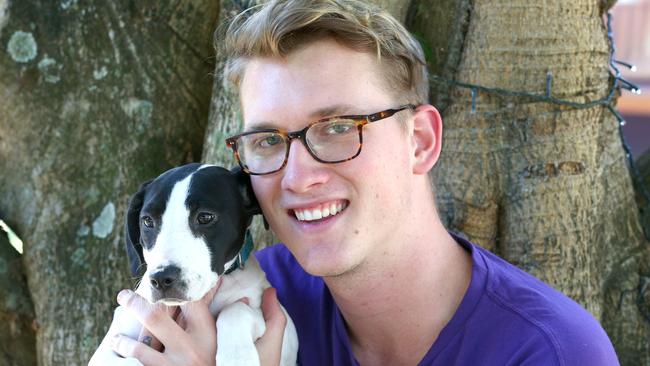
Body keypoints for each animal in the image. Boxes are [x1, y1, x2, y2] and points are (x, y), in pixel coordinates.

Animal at [88, 164, 296, 366]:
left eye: (205, 217)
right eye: (147, 221)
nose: (161, 279)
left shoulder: (286, 333)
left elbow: (235, 309)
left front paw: (237, 358)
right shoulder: (108, 348)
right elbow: (129, 361)